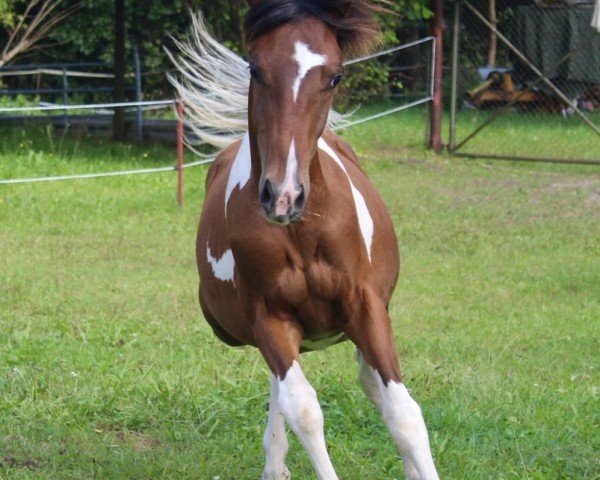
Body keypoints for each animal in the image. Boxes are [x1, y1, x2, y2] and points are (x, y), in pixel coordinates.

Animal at [169, 1, 440, 478]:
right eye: (255, 67)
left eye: (335, 77)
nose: (284, 195)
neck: (301, 233)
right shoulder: (269, 318)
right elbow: (304, 409)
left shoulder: (367, 306)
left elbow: (404, 414)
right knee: (284, 389)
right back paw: (275, 464)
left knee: (370, 382)